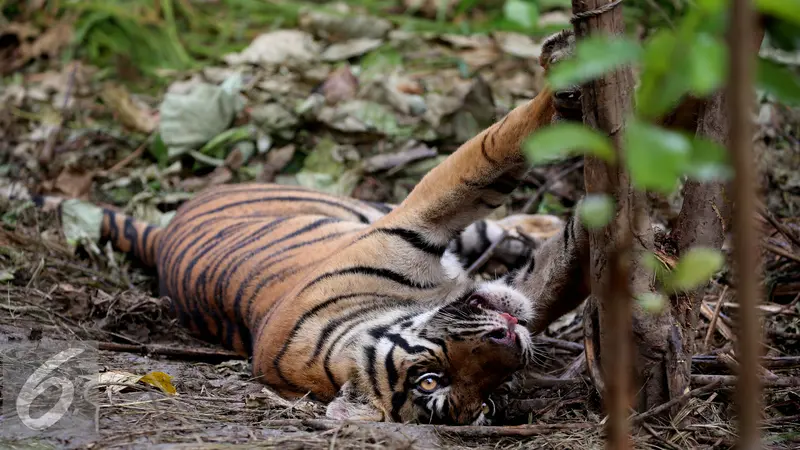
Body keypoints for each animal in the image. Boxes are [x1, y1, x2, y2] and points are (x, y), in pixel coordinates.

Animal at [3, 29, 592, 424]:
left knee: (491, 230)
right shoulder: (427, 219)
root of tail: (163, 230)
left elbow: (501, 170)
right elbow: (500, 156)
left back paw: (535, 221)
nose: (508, 336)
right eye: (436, 380)